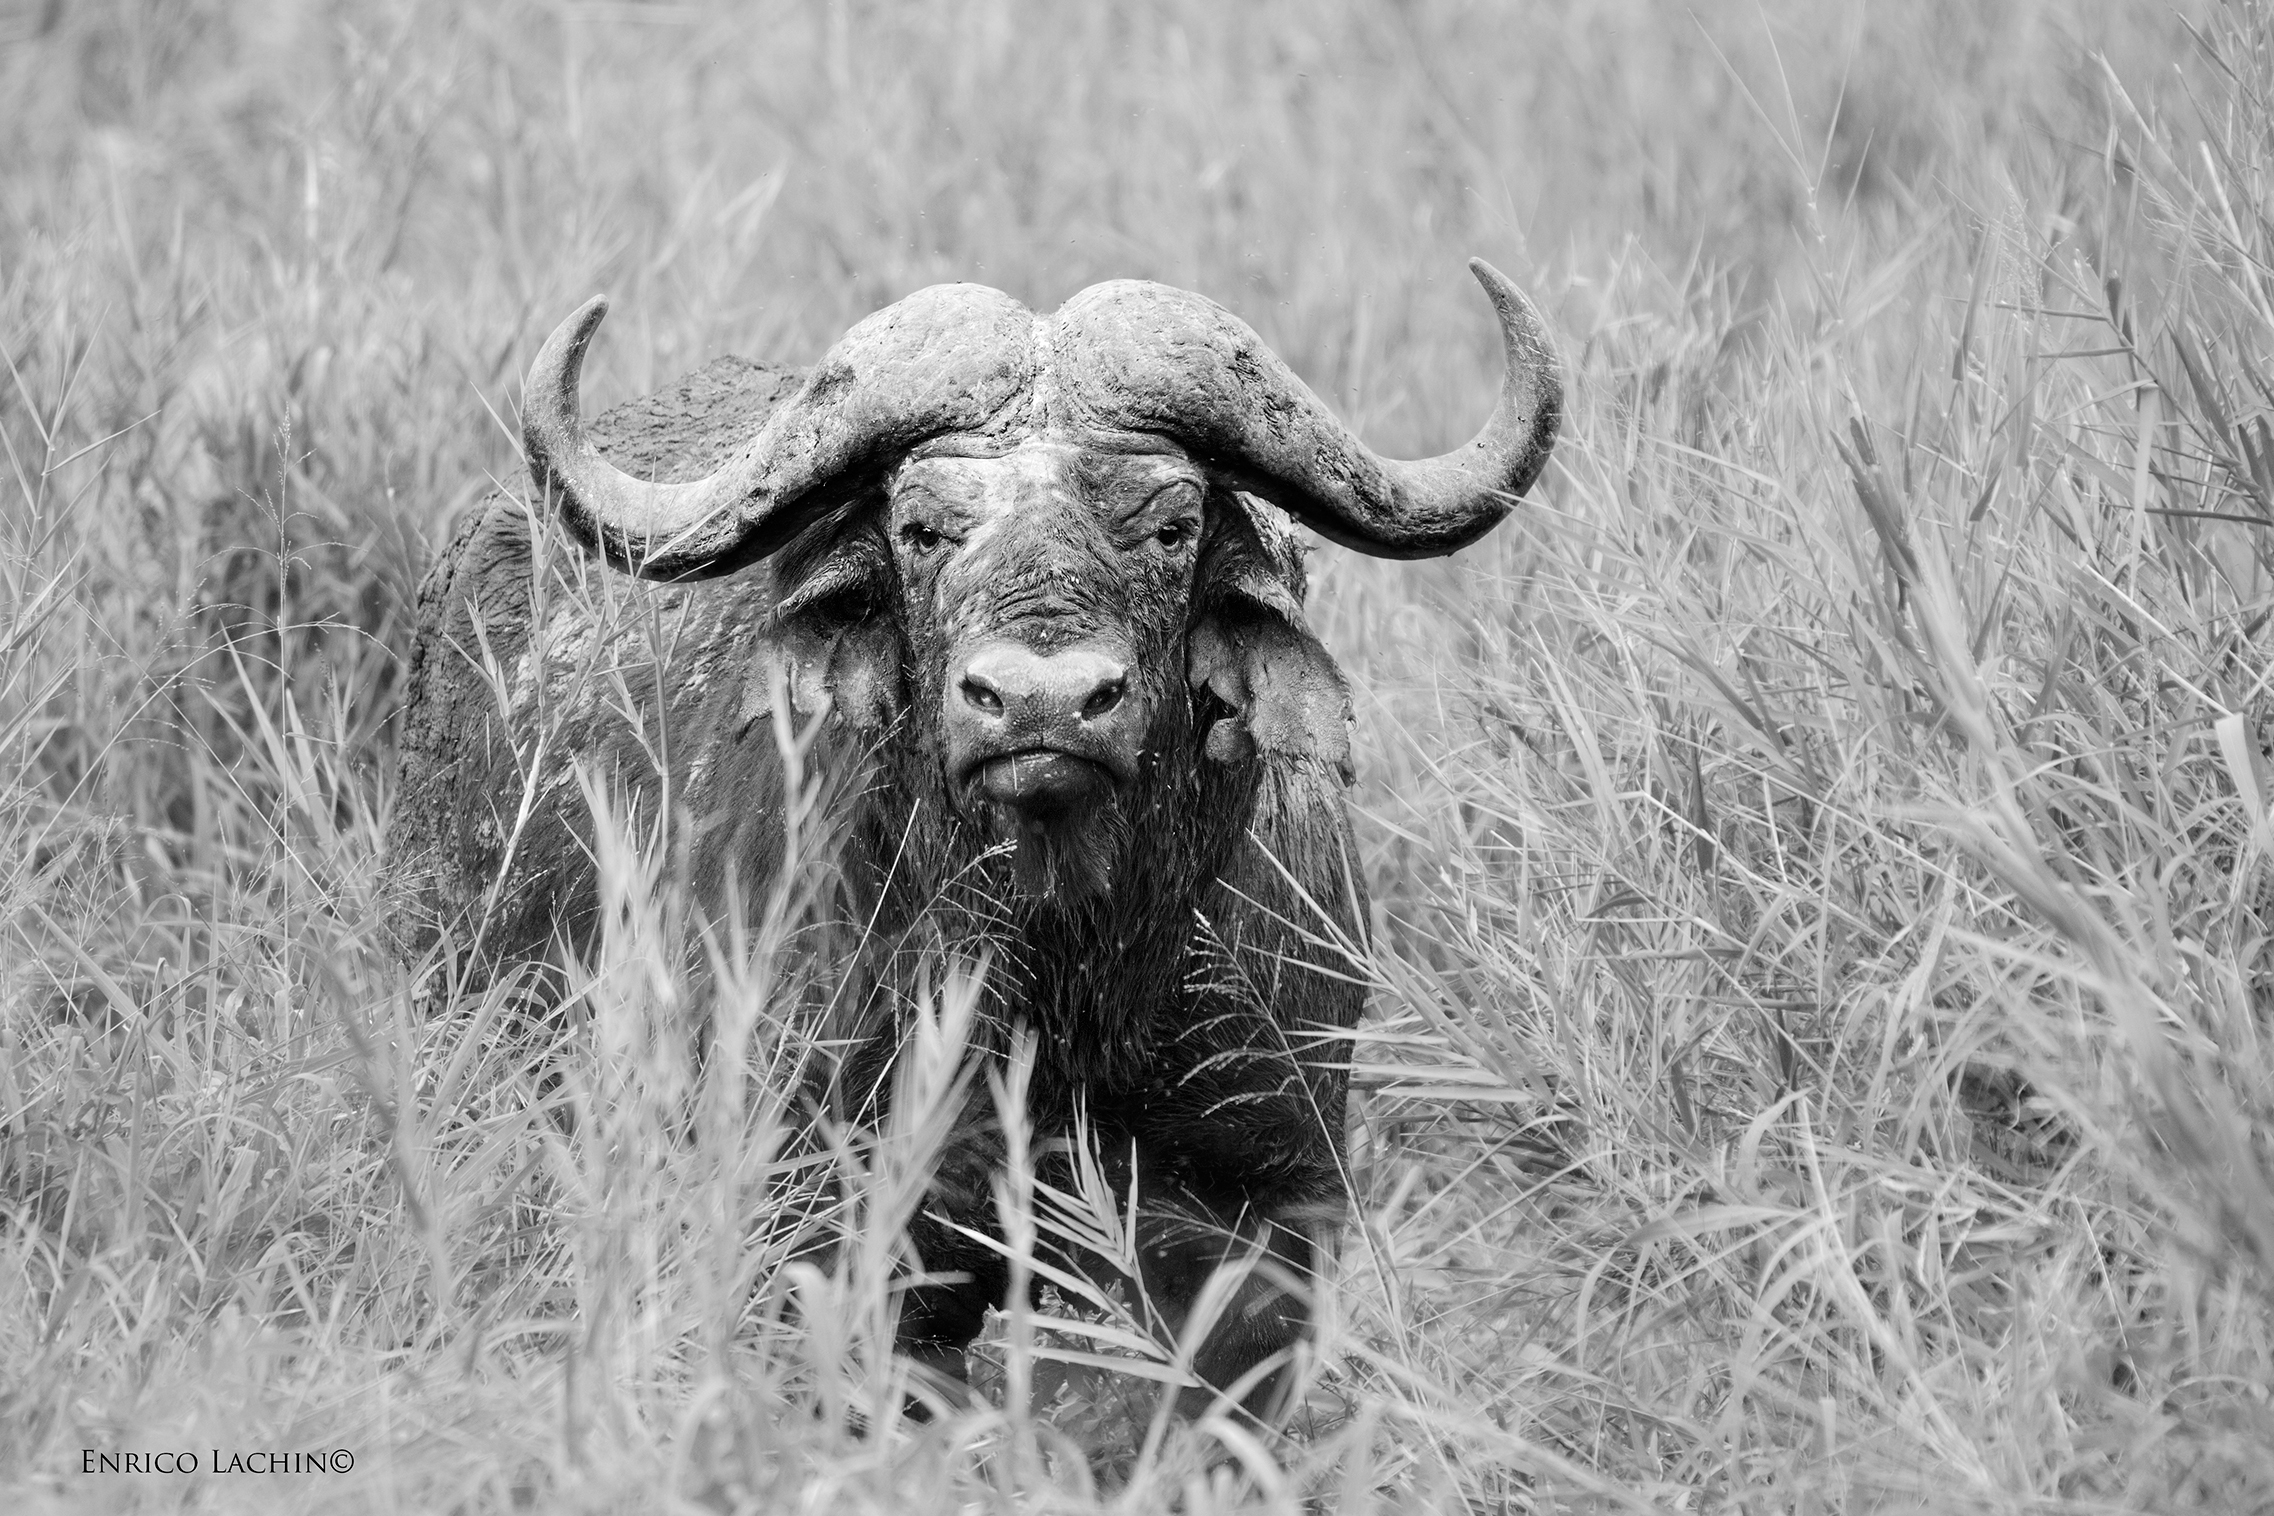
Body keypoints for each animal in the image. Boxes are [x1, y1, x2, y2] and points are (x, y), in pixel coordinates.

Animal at [386, 262, 1559, 1421]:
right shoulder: (837, 1208)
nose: (1041, 702)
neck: (1072, 982)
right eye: (922, 531)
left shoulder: (1261, 1213)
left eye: (1171, 527)